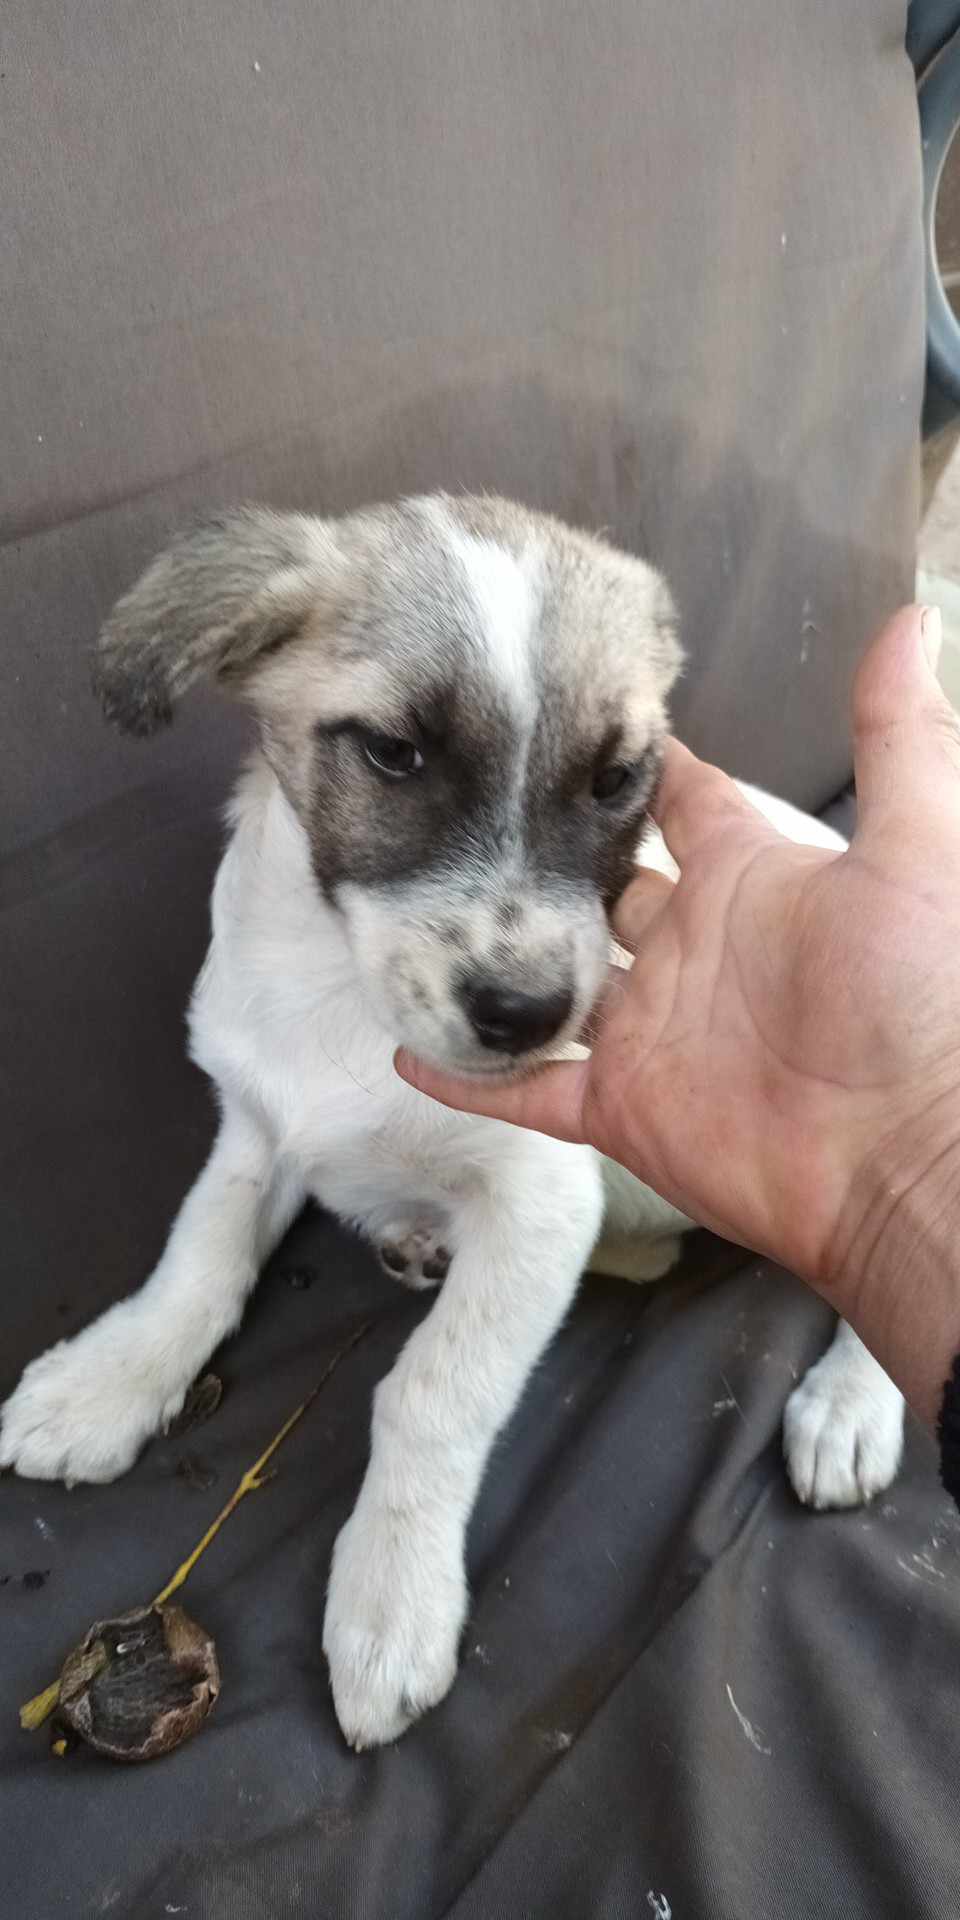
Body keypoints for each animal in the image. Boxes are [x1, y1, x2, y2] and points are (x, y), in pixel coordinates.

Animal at [0, 499, 902, 1758]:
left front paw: (391, 1595)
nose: (529, 1015)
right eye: (394, 752)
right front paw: (108, 1380)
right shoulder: (258, 1126)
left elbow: (430, 1393)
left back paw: (852, 1406)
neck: (342, 998)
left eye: (617, 777)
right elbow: (198, 1263)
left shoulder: (541, 1202)